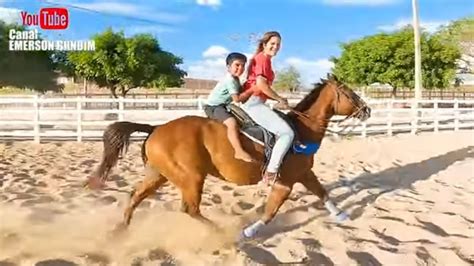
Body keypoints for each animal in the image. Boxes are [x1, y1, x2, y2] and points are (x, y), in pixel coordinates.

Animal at [87, 73, 372, 241]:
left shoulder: (304, 173)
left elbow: (323, 193)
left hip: (159, 175)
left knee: (135, 196)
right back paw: (221, 231)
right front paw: (248, 231)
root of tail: (156, 128)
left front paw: (342, 216)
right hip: (191, 178)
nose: (367, 110)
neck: (301, 130)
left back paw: (119, 232)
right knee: (190, 209)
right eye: (350, 93)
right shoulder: (286, 181)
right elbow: (271, 212)